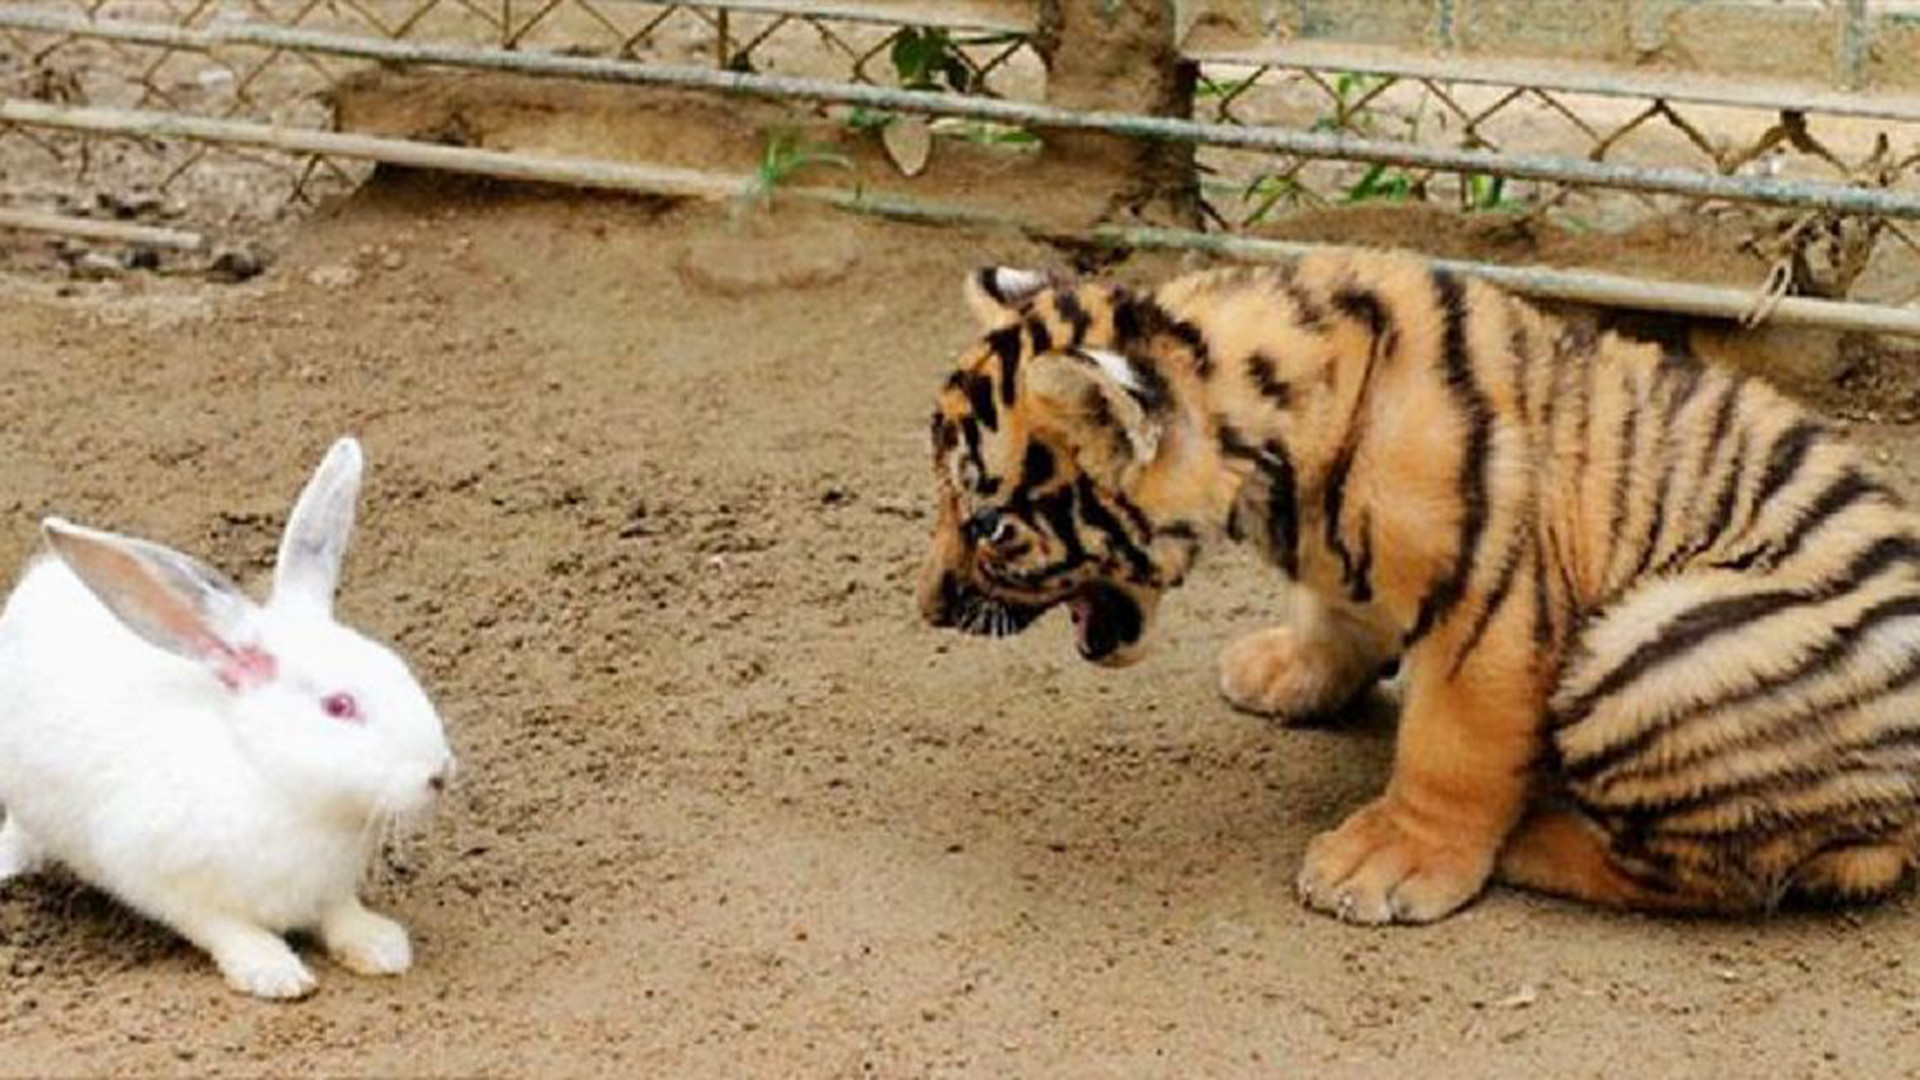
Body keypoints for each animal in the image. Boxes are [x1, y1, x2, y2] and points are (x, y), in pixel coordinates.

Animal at [916, 248, 1920, 924]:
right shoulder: (1340, 562)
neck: (1271, 457)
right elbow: (1332, 609)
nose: (928, 608)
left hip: (1656, 651)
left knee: (1724, 872)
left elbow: (1453, 748)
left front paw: (1388, 863)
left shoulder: (1493, 598)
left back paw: (1533, 836)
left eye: (990, 524)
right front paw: (1284, 670)